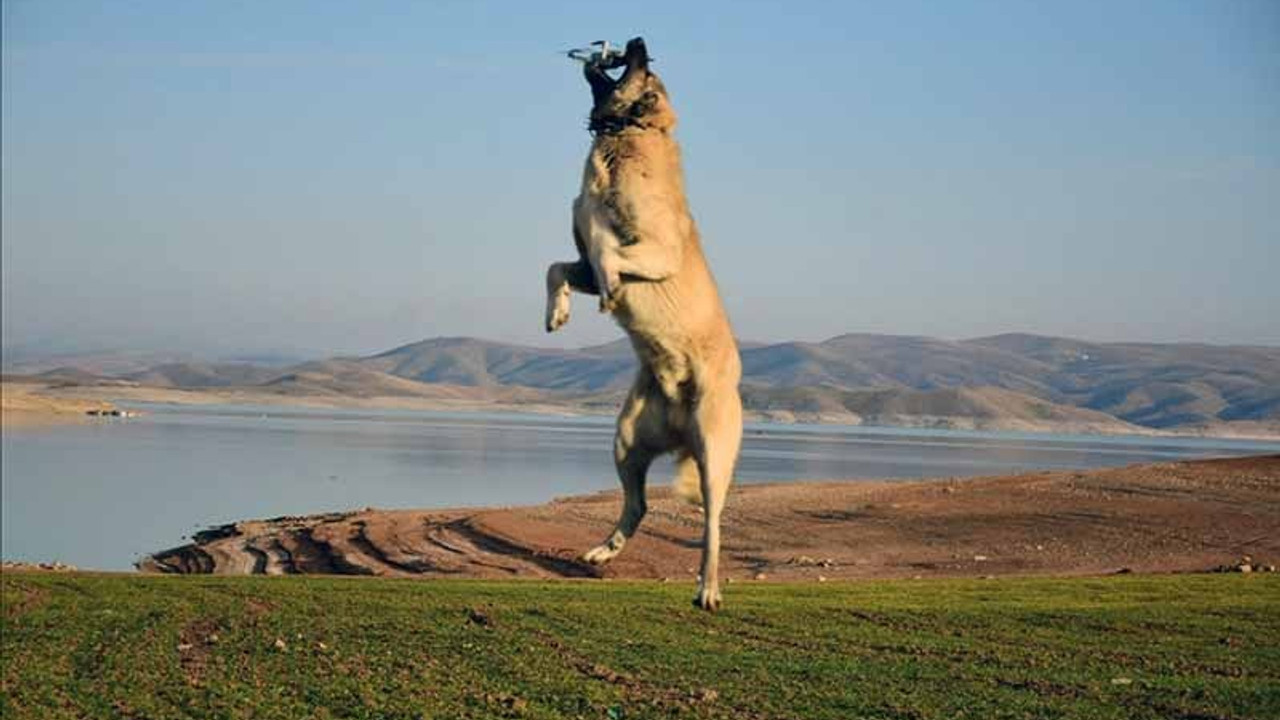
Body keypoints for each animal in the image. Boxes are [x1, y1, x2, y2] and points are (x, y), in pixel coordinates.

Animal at [545, 39, 747, 607]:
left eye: (644, 68)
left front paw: (609, 290)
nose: (636, 41)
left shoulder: (658, 250)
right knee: (638, 505)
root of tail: (680, 428)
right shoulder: (579, 260)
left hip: (713, 454)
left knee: (712, 528)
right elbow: (560, 265)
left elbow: (609, 250)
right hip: (626, 441)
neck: (629, 134)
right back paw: (603, 551)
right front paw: (558, 311)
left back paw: (708, 589)